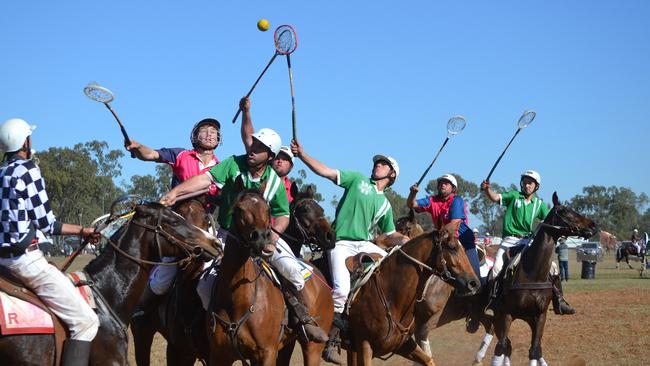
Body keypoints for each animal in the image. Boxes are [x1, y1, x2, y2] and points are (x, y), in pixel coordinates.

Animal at [205, 179, 332, 364]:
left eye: (268, 209)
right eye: (239, 209)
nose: (331, 236)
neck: (238, 298)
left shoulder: (267, 353)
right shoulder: (219, 355)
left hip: (313, 348)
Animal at [488, 193, 596, 364]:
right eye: (564, 211)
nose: (593, 225)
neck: (532, 274)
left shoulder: (540, 316)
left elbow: (535, 350)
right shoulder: (506, 314)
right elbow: (501, 346)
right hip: (498, 316)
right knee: (504, 345)